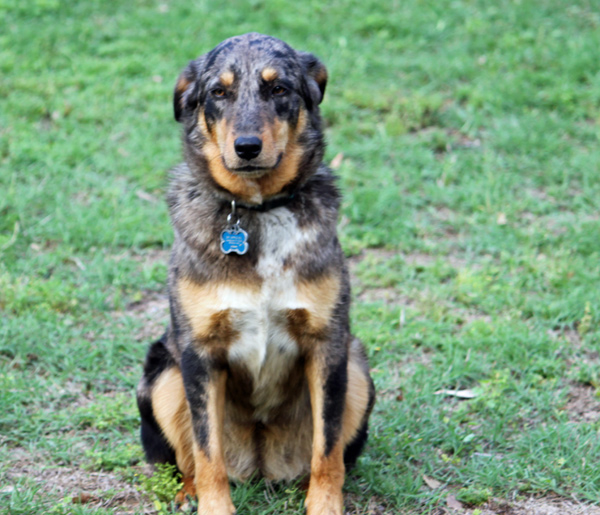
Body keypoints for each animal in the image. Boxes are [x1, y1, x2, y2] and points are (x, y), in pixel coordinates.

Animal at [136, 33, 375, 515]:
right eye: (218, 92)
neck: (259, 211)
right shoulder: (199, 354)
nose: (246, 146)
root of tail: (262, 464)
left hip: (357, 366)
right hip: (163, 373)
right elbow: (207, 452)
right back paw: (189, 493)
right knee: (190, 459)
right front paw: (214, 507)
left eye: (278, 88)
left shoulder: (327, 345)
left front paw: (324, 505)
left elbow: (327, 451)